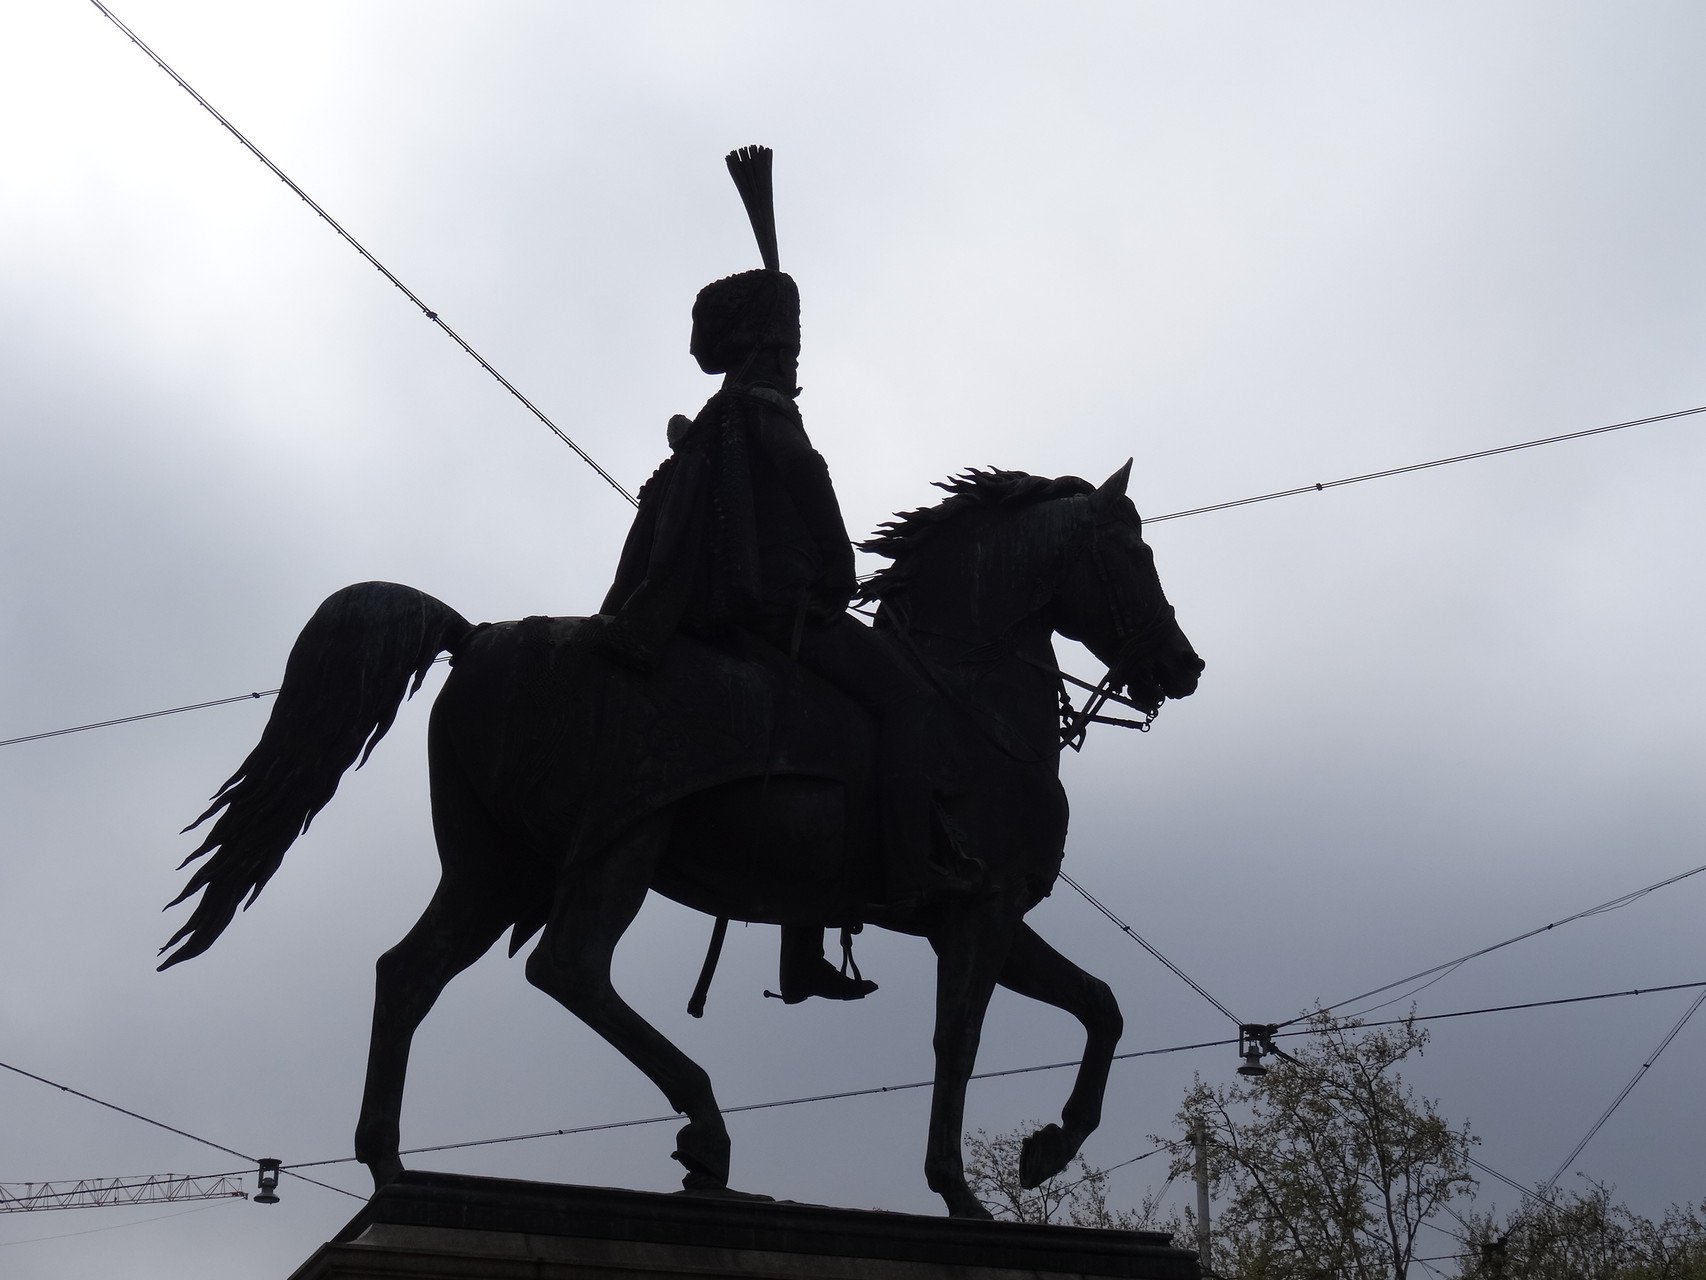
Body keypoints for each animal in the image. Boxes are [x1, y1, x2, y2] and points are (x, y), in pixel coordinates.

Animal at [160, 464, 1201, 1221]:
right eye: (1130, 549)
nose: (1181, 666)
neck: (970, 694)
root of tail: (481, 635)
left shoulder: (973, 919)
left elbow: (1102, 1006)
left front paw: (1049, 1148)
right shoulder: (979, 911)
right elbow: (962, 1040)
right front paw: (963, 1193)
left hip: (493, 869)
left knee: (408, 974)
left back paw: (393, 1171)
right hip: (620, 844)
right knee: (567, 967)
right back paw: (706, 1134)